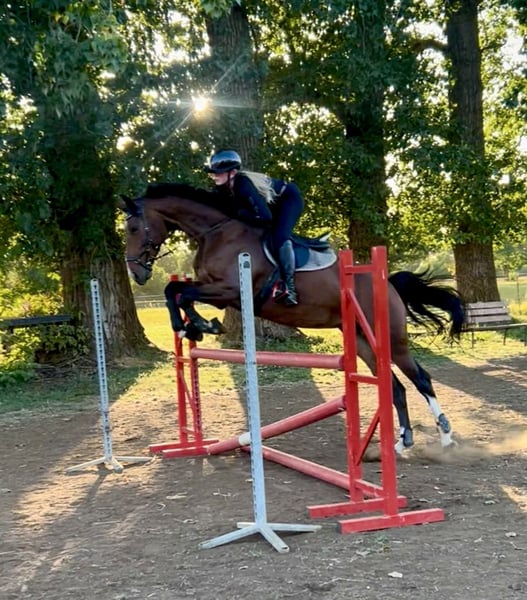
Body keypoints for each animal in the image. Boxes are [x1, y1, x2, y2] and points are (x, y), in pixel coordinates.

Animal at [119, 182, 465, 454]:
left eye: (133, 229)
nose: (136, 273)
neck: (217, 232)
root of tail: (388, 283)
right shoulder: (215, 289)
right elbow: (175, 290)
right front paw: (196, 328)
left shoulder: (229, 290)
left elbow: (179, 292)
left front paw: (196, 326)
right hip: (363, 341)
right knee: (395, 387)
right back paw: (402, 442)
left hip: (391, 338)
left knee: (421, 379)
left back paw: (446, 435)